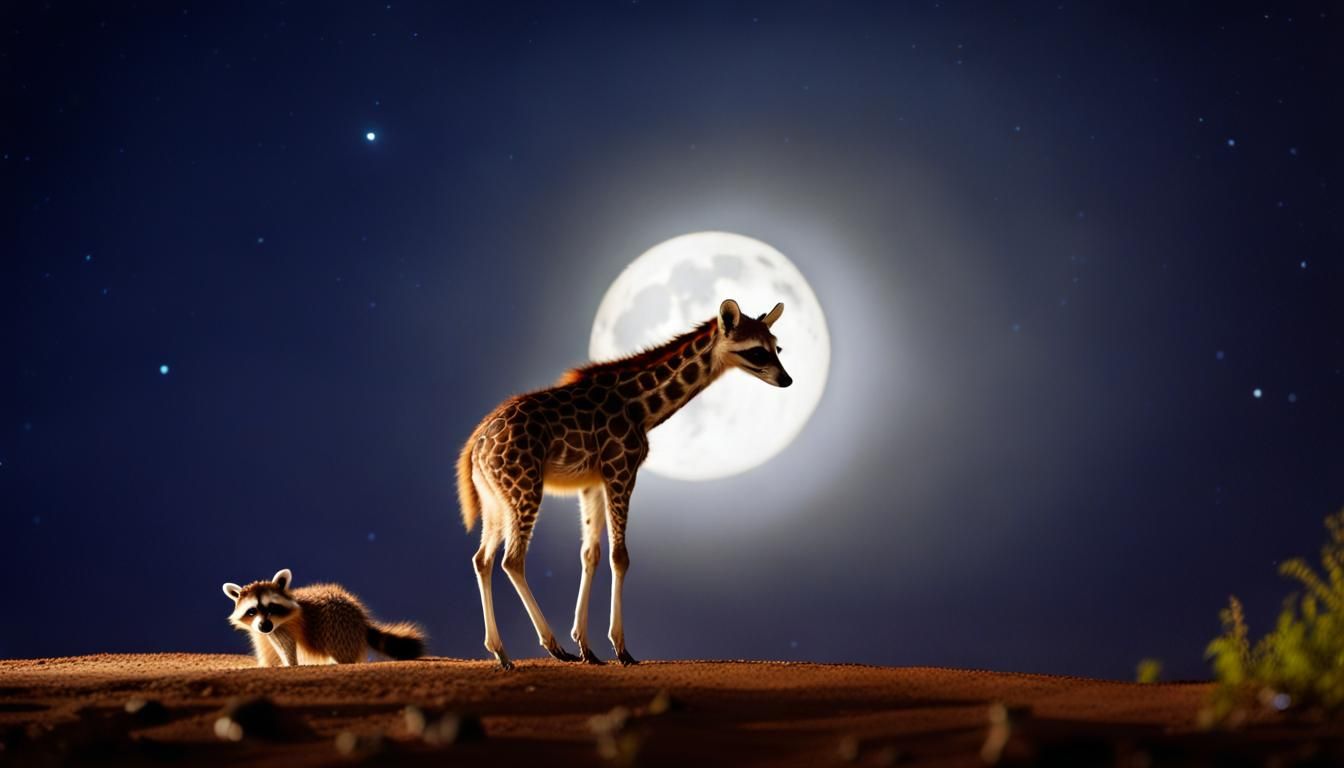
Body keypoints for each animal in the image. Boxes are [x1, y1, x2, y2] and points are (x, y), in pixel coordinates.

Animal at [457, 299, 792, 668]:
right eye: (757, 351)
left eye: (777, 347)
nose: (787, 379)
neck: (643, 408)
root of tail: (475, 447)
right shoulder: (621, 468)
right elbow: (620, 556)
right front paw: (620, 649)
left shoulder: (592, 481)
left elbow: (590, 553)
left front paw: (587, 648)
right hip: (525, 486)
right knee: (512, 559)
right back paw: (552, 647)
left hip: (495, 497)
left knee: (482, 559)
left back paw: (502, 653)